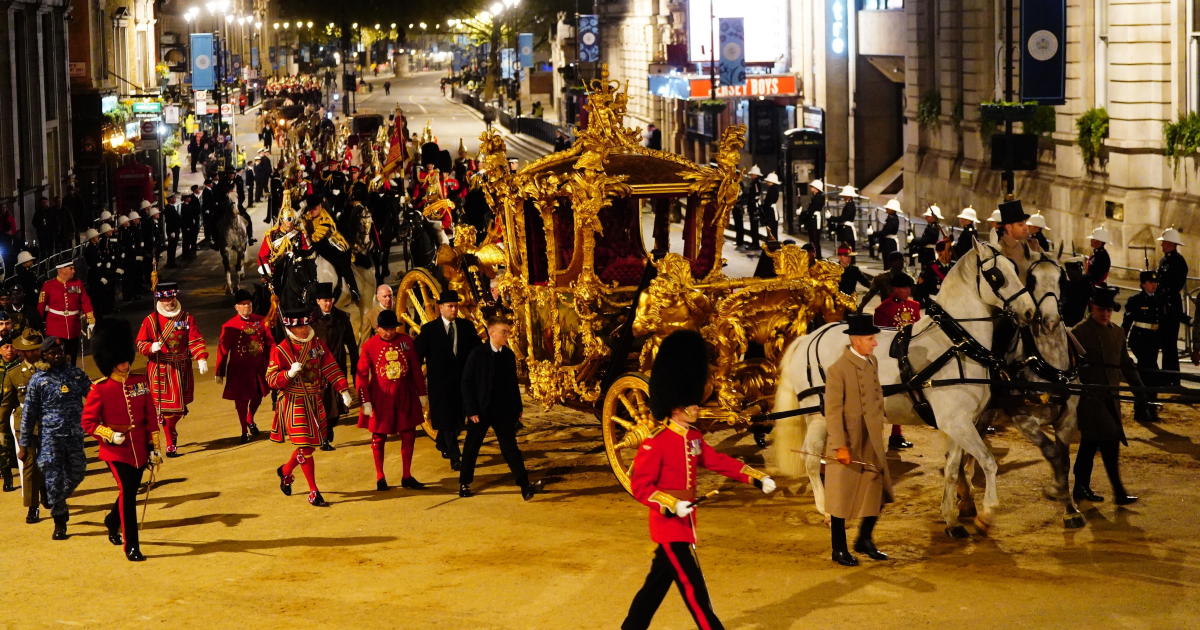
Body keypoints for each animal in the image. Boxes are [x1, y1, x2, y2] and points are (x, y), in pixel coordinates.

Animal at [772, 240, 1036, 535]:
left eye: (1014, 267)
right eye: (996, 276)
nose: (1030, 310)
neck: (955, 344)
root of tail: (809, 338)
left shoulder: (959, 423)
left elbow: (953, 468)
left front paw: (951, 518)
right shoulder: (957, 422)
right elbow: (988, 462)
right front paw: (987, 513)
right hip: (818, 414)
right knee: (810, 459)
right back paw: (826, 510)